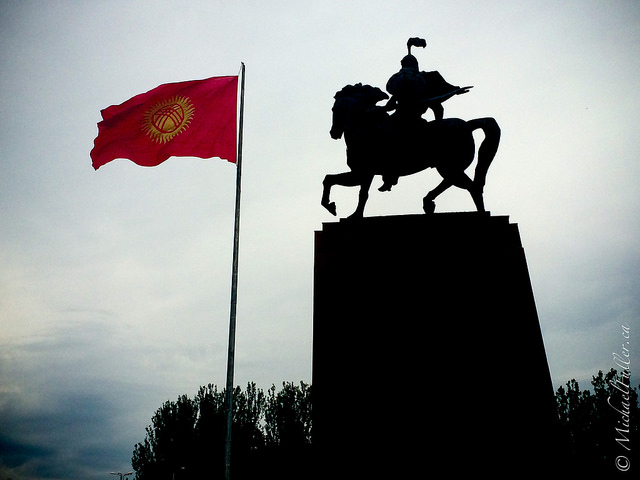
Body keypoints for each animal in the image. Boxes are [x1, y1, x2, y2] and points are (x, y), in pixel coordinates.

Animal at [324, 84, 500, 219]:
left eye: (333, 109)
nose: (333, 133)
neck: (364, 127)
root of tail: (468, 125)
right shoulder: (364, 174)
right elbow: (350, 188)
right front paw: (347, 213)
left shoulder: (362, 172)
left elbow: (342, 185)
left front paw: (337, 209)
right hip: (450, 167)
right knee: (458, 184)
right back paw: (428, 202)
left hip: (448, 166)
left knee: (470, 187)